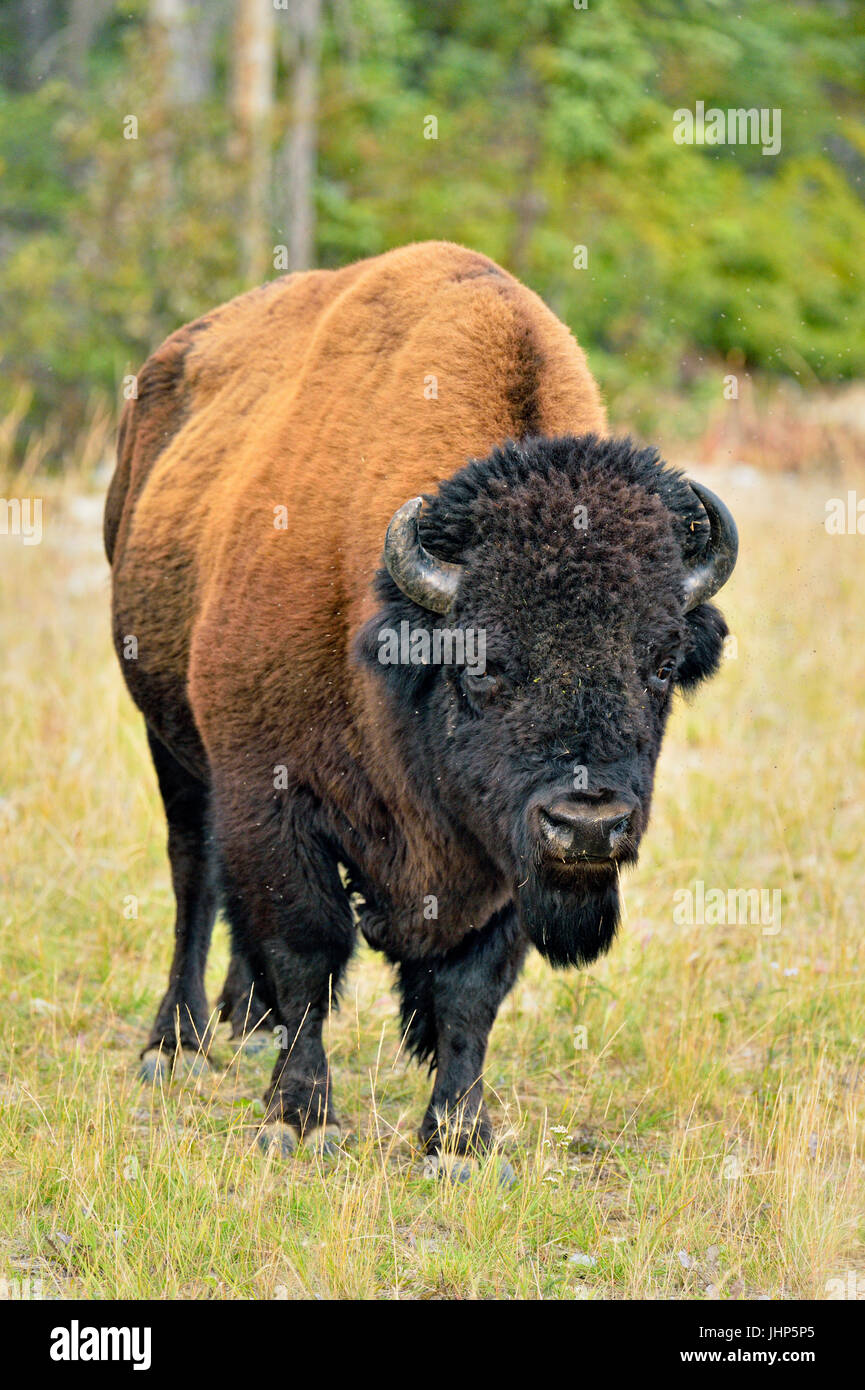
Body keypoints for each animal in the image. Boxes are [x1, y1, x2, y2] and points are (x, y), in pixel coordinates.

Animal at [103, 239, 739, 1173]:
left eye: (660, 661)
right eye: (483, 662)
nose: (587, 825)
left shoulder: (502, 855)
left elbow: (471, 990)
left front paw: (459, 1138)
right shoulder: (273, 795)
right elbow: (306, 946)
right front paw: (300, 1119)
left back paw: (247, 1025)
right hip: (171, 741)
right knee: (195, 874)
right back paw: (176, 1045)